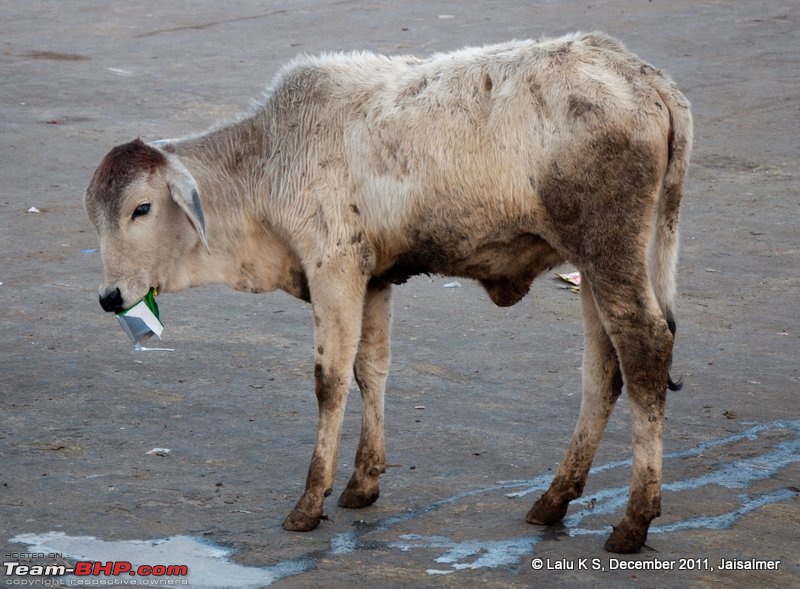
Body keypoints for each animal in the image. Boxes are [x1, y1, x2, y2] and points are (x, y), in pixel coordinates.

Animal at [84, 32, 692, 552]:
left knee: (644, 350)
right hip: (593, 265)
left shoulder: (335, 270)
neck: (269, 156)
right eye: (94, 214)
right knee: (603, 370)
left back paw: (634, 519)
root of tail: (644, 76)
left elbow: (330, 381)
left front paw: (311, 500)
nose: (110, 297)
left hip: (609, 253)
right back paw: (554, 498)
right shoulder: (373, 279)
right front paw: (363, 481)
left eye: (141, 208)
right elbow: (370, 368)